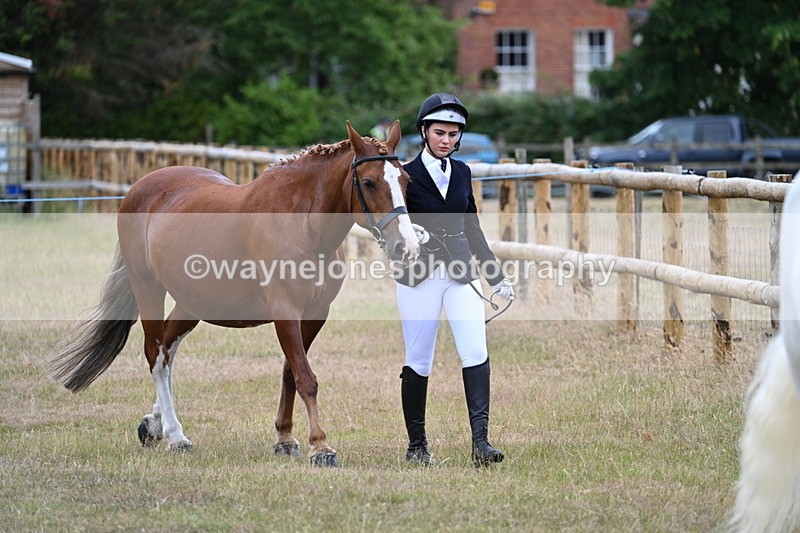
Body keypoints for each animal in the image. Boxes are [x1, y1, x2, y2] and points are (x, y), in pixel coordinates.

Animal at [49, 120, 419, 467]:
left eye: (405, 181)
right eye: (369, 182)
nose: (407, 246)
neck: (302, 224)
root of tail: (139, 189)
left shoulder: (315, 314)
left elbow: (290, 372)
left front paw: (285, 439)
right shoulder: (285, 312)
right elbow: (305, 377)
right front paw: (320, 447)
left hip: (191, 303)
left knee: (168, 351)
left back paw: (154, 424)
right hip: (148, 288)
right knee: (156, 355)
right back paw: (175, 435)